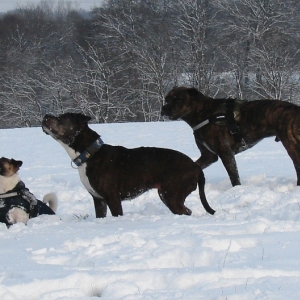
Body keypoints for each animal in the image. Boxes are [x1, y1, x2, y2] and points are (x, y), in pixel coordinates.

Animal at [162, 85, 300, 186]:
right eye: (166, 99)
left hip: (292, 146)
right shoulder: (208, 156)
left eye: (177, 99)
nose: (163, 108)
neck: (204, 114)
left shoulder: (226, 153)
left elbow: (234, 177)